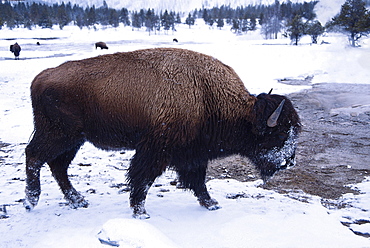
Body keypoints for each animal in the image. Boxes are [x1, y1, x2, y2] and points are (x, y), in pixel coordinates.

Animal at [23, 47, 300, 218]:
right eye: (279, 134)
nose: (289, 161)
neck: (206, 95)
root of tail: (40, 77)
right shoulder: (156, 150)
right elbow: (143, 178)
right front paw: (140, 212)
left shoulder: (192, 154)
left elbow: (197, 181)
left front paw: (211, 203)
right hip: (58, 135)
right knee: (35, 156)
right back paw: (31, 201)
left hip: (74, 140)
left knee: (57, 166)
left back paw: (77, 200)